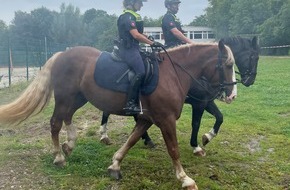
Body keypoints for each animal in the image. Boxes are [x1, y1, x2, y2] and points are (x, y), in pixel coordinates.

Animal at [0, 41, 236, 190]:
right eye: (228, 65)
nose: (232, 95)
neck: (173, 74)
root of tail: (61, 55)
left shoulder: (146, 119)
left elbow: (131, 140)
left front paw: (115, 165)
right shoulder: (166, 119)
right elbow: (173, 149)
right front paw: (185, 179)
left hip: (78, 98)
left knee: (67, 118)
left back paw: (70, 144)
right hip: (66, 98)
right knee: (55, 123)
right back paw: (59, 157)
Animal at [98, 36, 260, 155]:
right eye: (253, 57)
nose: (250, 81)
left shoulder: (206, 101)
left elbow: (220, 118)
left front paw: (207, 137)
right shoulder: (199, 103)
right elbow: (196, 123)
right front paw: (196, 146)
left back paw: (144, 138)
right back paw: (105, 135)